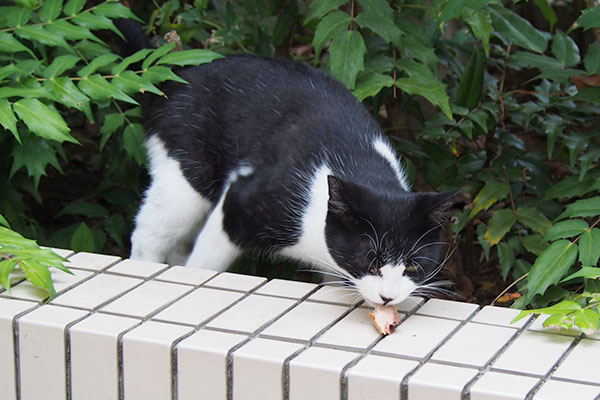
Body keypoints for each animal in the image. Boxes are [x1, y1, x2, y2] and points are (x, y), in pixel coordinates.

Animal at [127, 53, 454, 304]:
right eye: (370, 260)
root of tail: (175, 75)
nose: (388, 297)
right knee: (149, 234)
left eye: (413, 265)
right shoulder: (244, 202)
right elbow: (204, 265)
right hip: (186, 178)